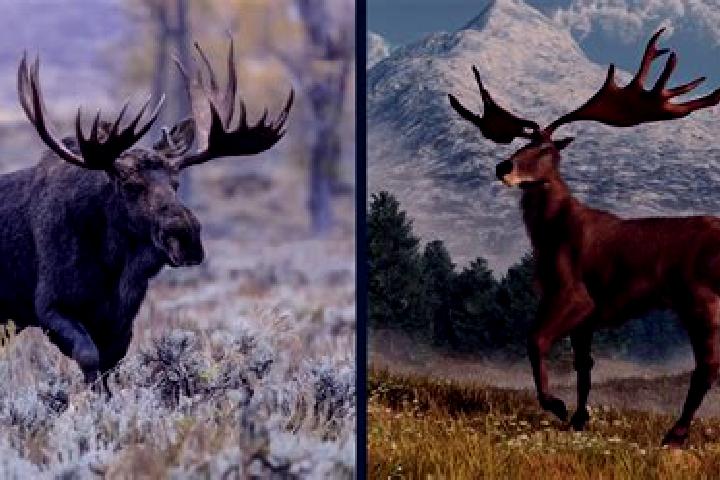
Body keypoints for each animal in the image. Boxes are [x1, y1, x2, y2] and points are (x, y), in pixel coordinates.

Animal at [0, 38, 292, 393]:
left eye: (176, 183)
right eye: (130, 185)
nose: (187, 237)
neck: (113, 265)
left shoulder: (120, 321)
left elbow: (109, 367)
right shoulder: (50, 305)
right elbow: (89, 358)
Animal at [448, 29, 720, 446]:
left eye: (546, 149)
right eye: (519, 145)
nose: (503, 166)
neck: (552, 233)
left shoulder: (574, 294)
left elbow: (535, 340)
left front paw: (556, 406)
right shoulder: (586, 315)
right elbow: (584, 366)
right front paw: (579, 419)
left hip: (701, 297)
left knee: (707, 366)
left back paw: (675, 434)